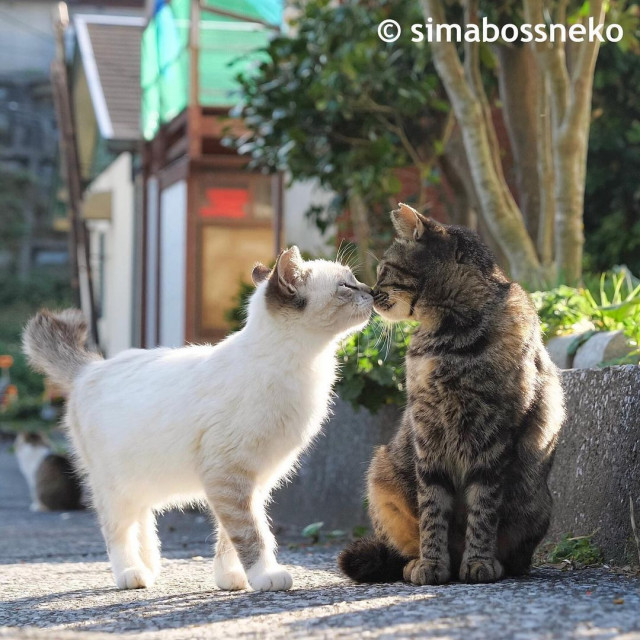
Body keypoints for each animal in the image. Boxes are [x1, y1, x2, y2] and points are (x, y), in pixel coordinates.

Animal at [25, 248, 372, 592]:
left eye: (356, 281)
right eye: (347, 286)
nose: (370, 290)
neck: (303, 368)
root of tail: (90, 367)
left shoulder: (254, 481)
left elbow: (230, 537)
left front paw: (231, 579)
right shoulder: (228, 476)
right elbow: (251, 534)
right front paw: (264, 576)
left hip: (139, 477)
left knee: (142, 520)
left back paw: (150, 565)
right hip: (114, 486)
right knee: (118, 530)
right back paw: (132, 573)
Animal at [338, 205, 564, 584]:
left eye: (384, 269)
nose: (369, 290)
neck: (448, 336)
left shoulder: (494, 434)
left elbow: (483, 508)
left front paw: (479, 560)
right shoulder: (428, 431)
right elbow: (432, 507)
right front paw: (431, 563)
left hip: (535, 504)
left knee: (518, 558)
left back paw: (489, 563)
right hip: (382, 473)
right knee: (399, 550)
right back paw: (417, 563)